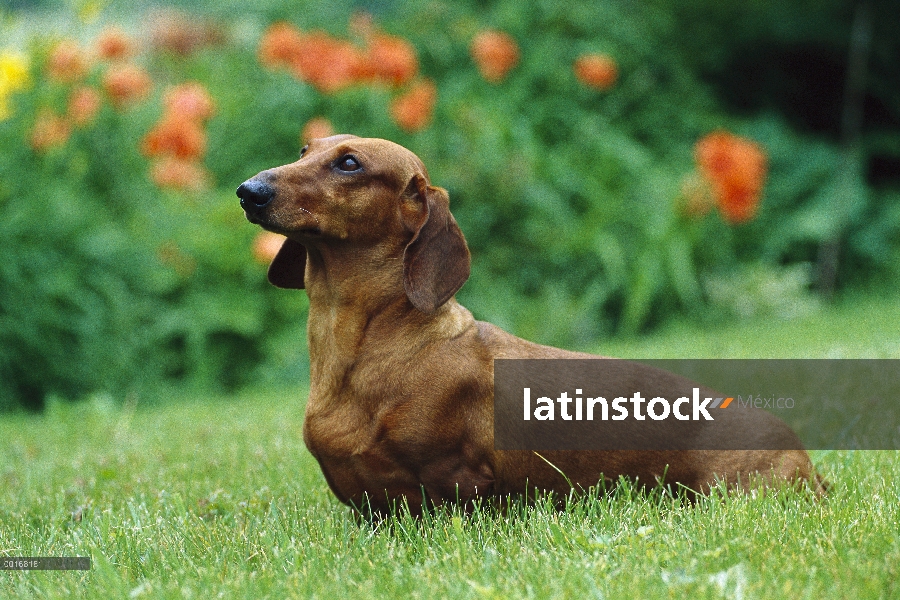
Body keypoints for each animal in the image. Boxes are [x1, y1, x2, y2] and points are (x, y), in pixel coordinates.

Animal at [239, 136, 824, 516]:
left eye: (349, 163)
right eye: (303, 151)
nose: (248, 190)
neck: (367, 345)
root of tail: (805, 458)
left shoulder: (457, 483)